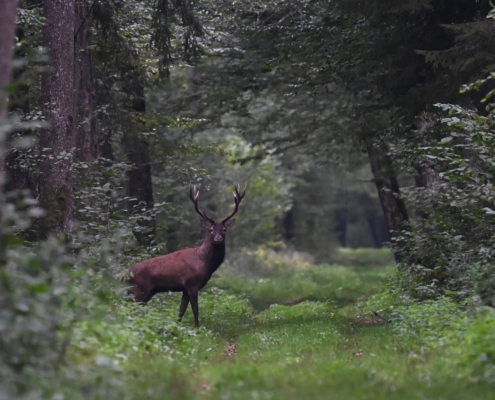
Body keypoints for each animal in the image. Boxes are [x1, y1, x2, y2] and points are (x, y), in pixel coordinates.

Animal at [126, 184, 246, 328]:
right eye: (211, 229)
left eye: (224, 230)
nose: (218, 238)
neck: (204, 263)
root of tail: (122, 275)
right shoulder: (192, 283)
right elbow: (195, 309)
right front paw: (197, 328)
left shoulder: (184, 288)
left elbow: (181, 310)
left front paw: (178, 326)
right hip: (139, 290)